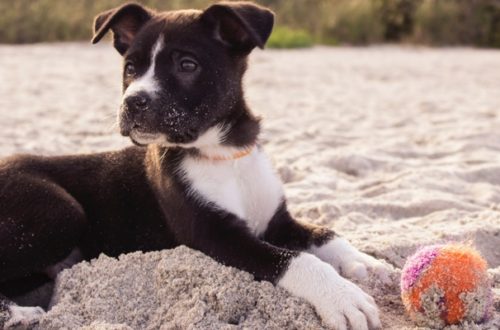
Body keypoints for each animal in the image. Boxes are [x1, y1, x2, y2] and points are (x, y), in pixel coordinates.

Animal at [0, 2, 390, 330]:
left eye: (187, 65)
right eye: (130, 68)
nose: (132, 101)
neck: (222, 153)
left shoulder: (277, 219)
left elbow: (325, 233)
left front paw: (364, 262)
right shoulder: (215, 235)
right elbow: (295, 260)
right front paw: (341, 297)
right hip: (61, 212)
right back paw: (19, 313)